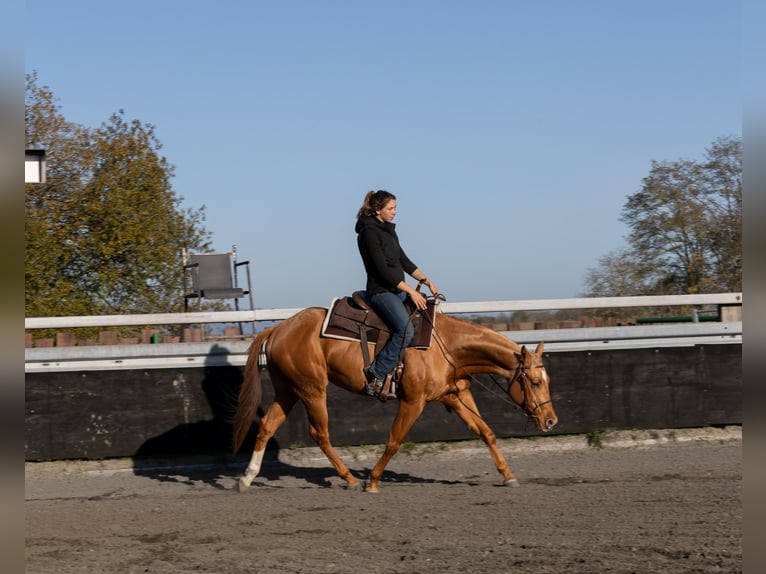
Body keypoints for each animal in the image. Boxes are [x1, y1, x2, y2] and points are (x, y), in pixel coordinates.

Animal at [232, 306, 560, 496]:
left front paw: (508, 475)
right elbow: (393, 441)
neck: (447, 346)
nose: (551, 420)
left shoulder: (456, 395)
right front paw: (373, 481)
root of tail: (278, 327)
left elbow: (486, 432)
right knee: (319, 433)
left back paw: (247, 478)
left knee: (267, 426)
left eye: (548, 380)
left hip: (288, 390)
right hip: (312, 390)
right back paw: (350, 478)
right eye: (534, 382)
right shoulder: (413, 401)